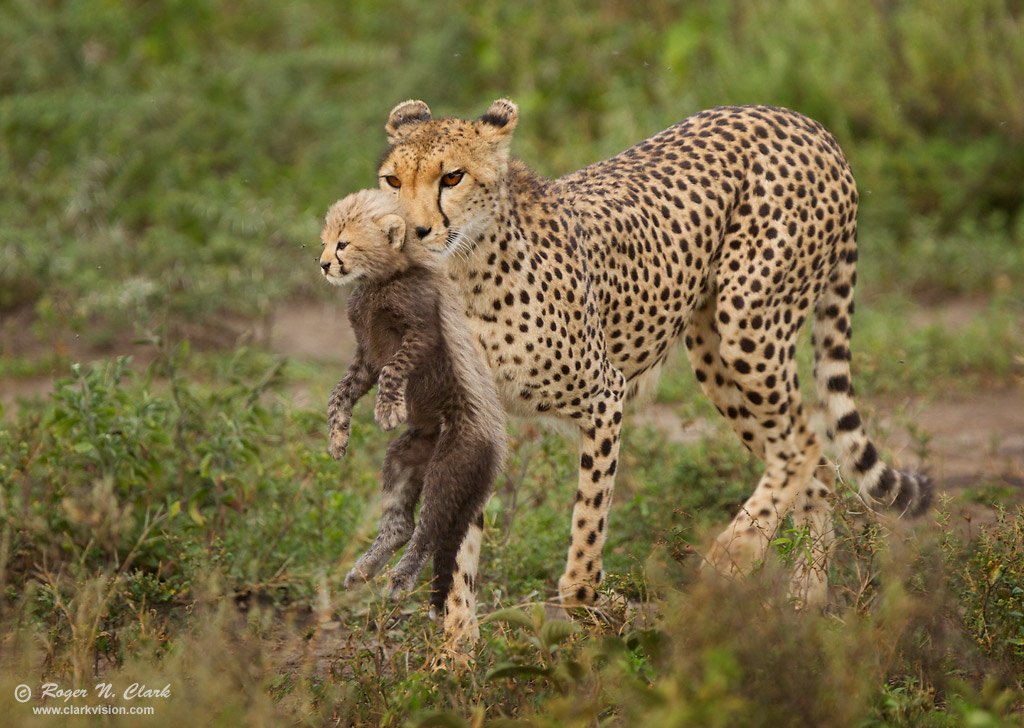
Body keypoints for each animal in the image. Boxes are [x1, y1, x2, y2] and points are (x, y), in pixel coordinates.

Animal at [374, 98, 929, 610]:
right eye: (392, 181)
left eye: (452, 177)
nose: (410, 231)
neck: (467, 271)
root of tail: (801, 119)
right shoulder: (474, 420)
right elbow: (460, 552)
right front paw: (456, 649)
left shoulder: (604, 395)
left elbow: (589, 518)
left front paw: (587, 598)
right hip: (714, 352)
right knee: (814, 466)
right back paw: (805, 597)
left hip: (748, 322)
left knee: (804, 447)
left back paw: (733, 555)